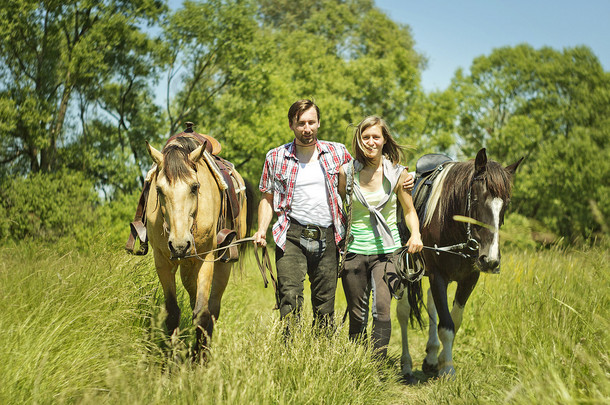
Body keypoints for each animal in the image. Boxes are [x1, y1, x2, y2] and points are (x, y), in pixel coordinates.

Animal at [146, 136, 248, 354]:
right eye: (158, 190)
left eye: (194, 187)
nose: (179, 245)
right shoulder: (162, 262)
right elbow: (173, 313)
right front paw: (175, 357)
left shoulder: (206, 259)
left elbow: (202, 313)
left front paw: (199, 358)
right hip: (187, 268)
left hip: (222, 264)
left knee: (213, 308)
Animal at [396, 147, 520, 380]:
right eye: (477, 199)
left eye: (506, 204)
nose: (490, 260)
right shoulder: (438, 277)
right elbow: (446, 325)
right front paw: (448, 370)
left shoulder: (469, 279)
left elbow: (455, 320)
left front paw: (442, 361)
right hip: (406, 271)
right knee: (404, 311)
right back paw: (406, 365)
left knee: (431, 305)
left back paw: (431, 357)